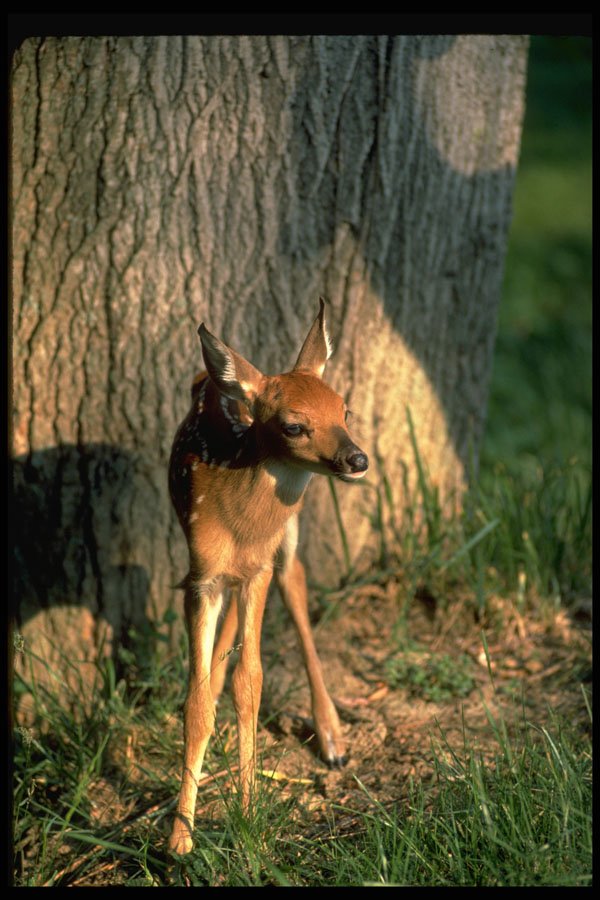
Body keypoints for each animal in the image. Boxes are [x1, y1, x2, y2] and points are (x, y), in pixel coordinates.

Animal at [167, 299, 369, 855]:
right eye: (294, 425)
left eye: (344, 410)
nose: (357, 458)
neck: (239, 521)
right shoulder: (201, 575)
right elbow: (196, 700)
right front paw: (179, 838)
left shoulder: (258, 566)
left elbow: (251, 682)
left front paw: (250, 818)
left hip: (290, 531)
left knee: (295, 584)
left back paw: (333, 736)